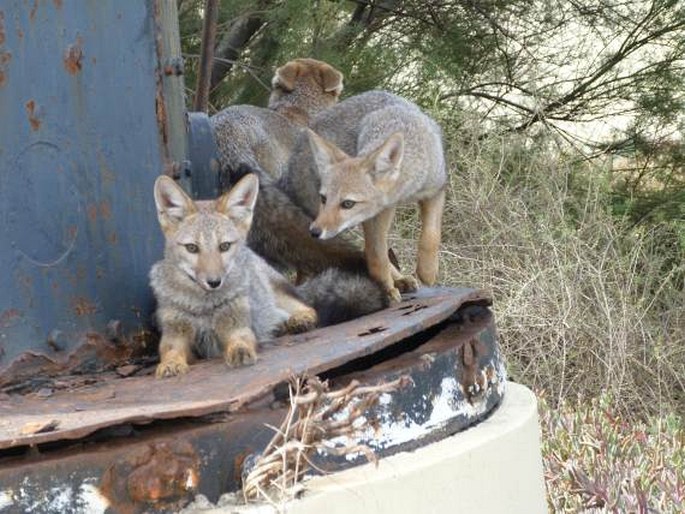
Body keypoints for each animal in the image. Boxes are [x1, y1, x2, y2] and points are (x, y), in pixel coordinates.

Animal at [150, 173, 388, 376]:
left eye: (224, 246)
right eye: (192, 248)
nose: (214, 282)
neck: (204, 306)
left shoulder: (237, 325)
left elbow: (241, 340)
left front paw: (240, 351)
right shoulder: (176, 334)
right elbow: (170, 351)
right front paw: (170, 364)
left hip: (278, 294)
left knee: (308, 308)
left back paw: (299, 320)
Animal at [280, 90, 446, 302]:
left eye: (348, 203)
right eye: (324, 199)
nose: (314, 232)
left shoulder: (435, 191)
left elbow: (431, 236)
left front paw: (427, 271)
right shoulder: (374, 217)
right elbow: (377, 255)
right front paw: (386, 288)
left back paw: (401, 280)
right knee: (370, 250)